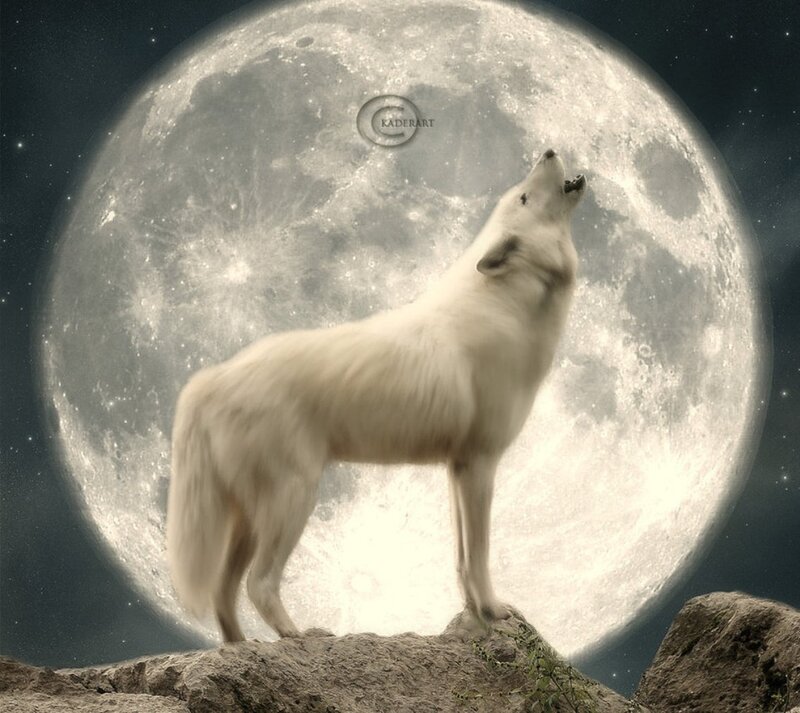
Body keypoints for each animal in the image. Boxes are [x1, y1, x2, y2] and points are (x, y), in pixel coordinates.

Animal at [166, 148, 586, 642]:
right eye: (522, 196)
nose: (547, 151)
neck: (508, 304)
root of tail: (211, 379)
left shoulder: (458, 470)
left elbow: (462, 558)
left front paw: (472, 614)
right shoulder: (480, 465)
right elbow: (480, 555)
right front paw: (492, 611)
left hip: (252, 518)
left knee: (223, 593)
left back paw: (242, 648)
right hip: (293, 501)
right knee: (258, 584)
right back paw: (300, 637)